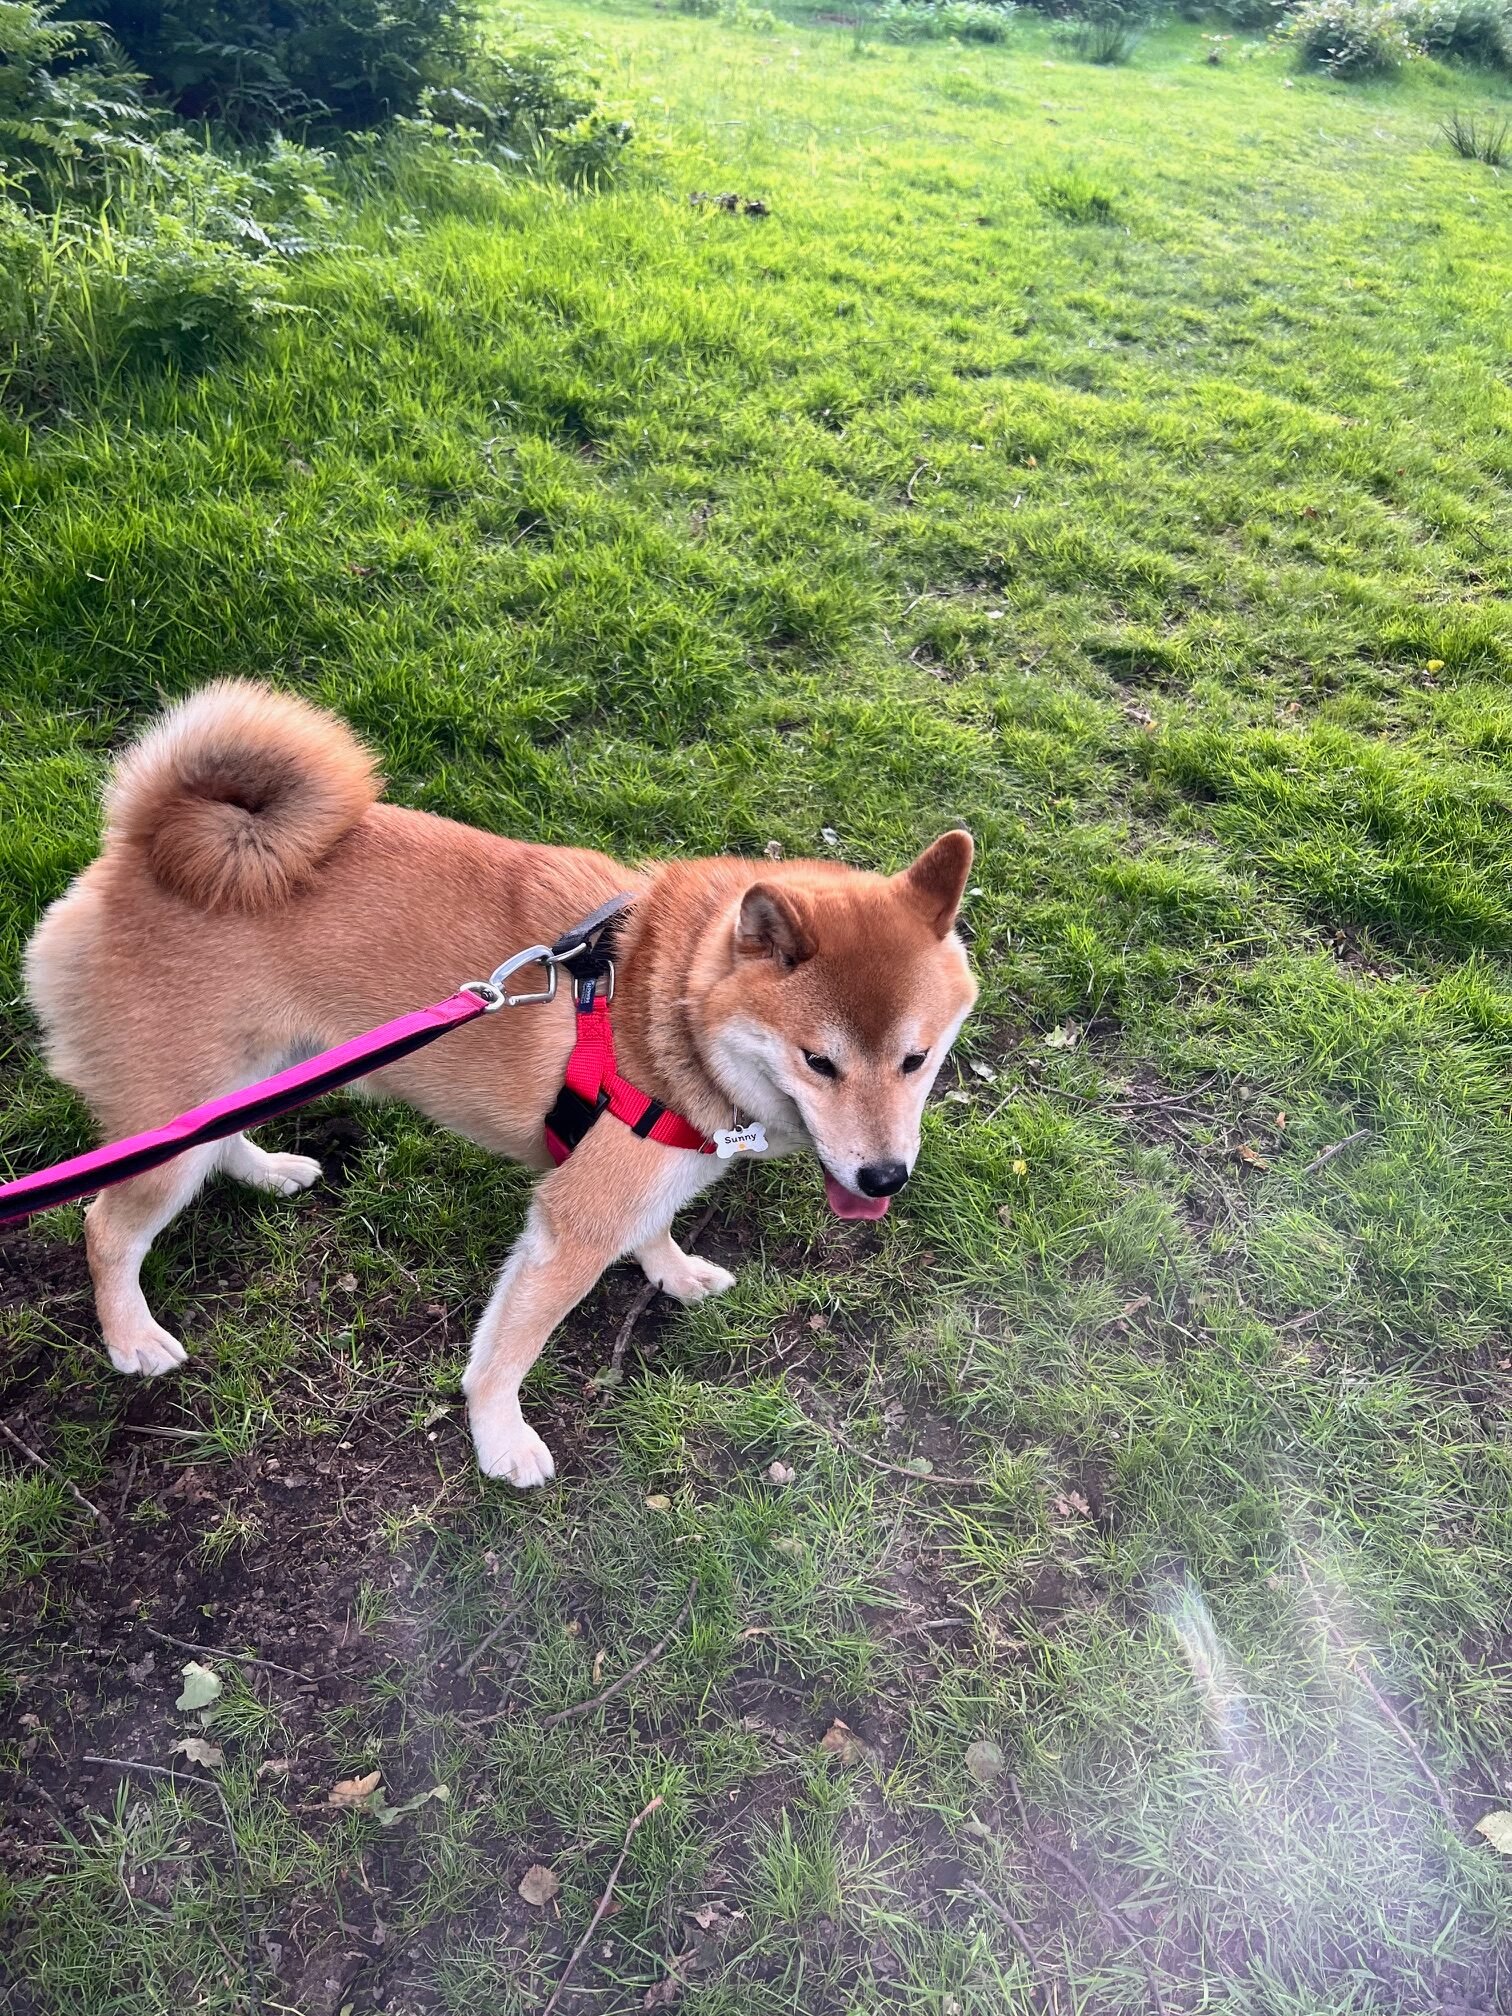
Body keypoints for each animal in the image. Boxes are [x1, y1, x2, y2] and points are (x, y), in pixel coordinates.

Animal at [23, 685, 983, 1491]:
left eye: (916, 1059)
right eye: (821, 1062)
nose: (885, 1178)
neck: (663, 1005)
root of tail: (140, 849)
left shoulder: (637, 1180)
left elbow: (656, 1227)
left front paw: (671, 1271)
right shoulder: (572, 1223)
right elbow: (507, 1350)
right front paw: (500, 1438)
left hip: (267, 1071)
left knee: (218, 1138)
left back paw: (266, 1171)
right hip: (172, 1123)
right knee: (105, 1225)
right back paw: (132, 1336)